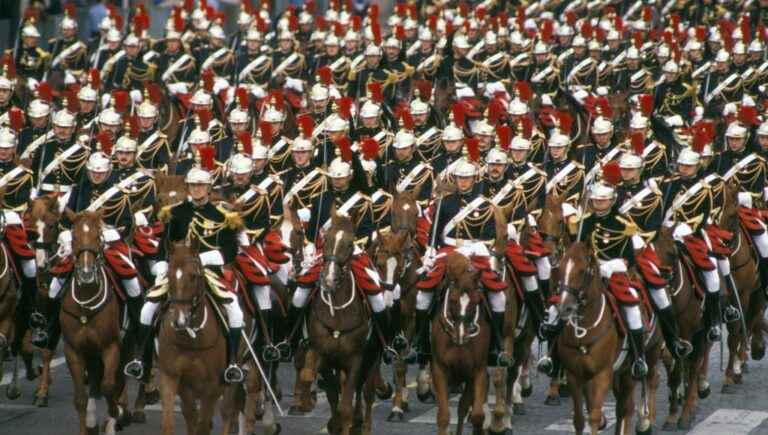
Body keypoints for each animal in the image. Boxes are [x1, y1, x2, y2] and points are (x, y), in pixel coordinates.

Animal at [60, 211, 128, 435]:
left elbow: (109, 386)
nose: (86, 273)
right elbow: (80, 398)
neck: (85, 306)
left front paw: (115, 414)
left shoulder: (111, 346)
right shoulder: (73, 349)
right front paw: (88, 423)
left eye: (98, 237)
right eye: (73, 238)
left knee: (117, 381)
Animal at [432, 252, 492, 435]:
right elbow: (443, 416)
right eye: (452, 300)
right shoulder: (439, 370)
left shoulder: (477, 371)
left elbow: (477, 415)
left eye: (476, 301)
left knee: (464, 408)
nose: (461, 336)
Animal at [556, 244, 664, 434]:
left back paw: (645, 421)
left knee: (646, 385)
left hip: (649, 353)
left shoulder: (602, 374)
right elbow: (579, 419)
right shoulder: (574, 375)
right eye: (560, 269)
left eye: (582, 271)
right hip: (623, 371)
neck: (583, 331)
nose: (564, 308)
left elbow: (594, 416)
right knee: (623, 406)